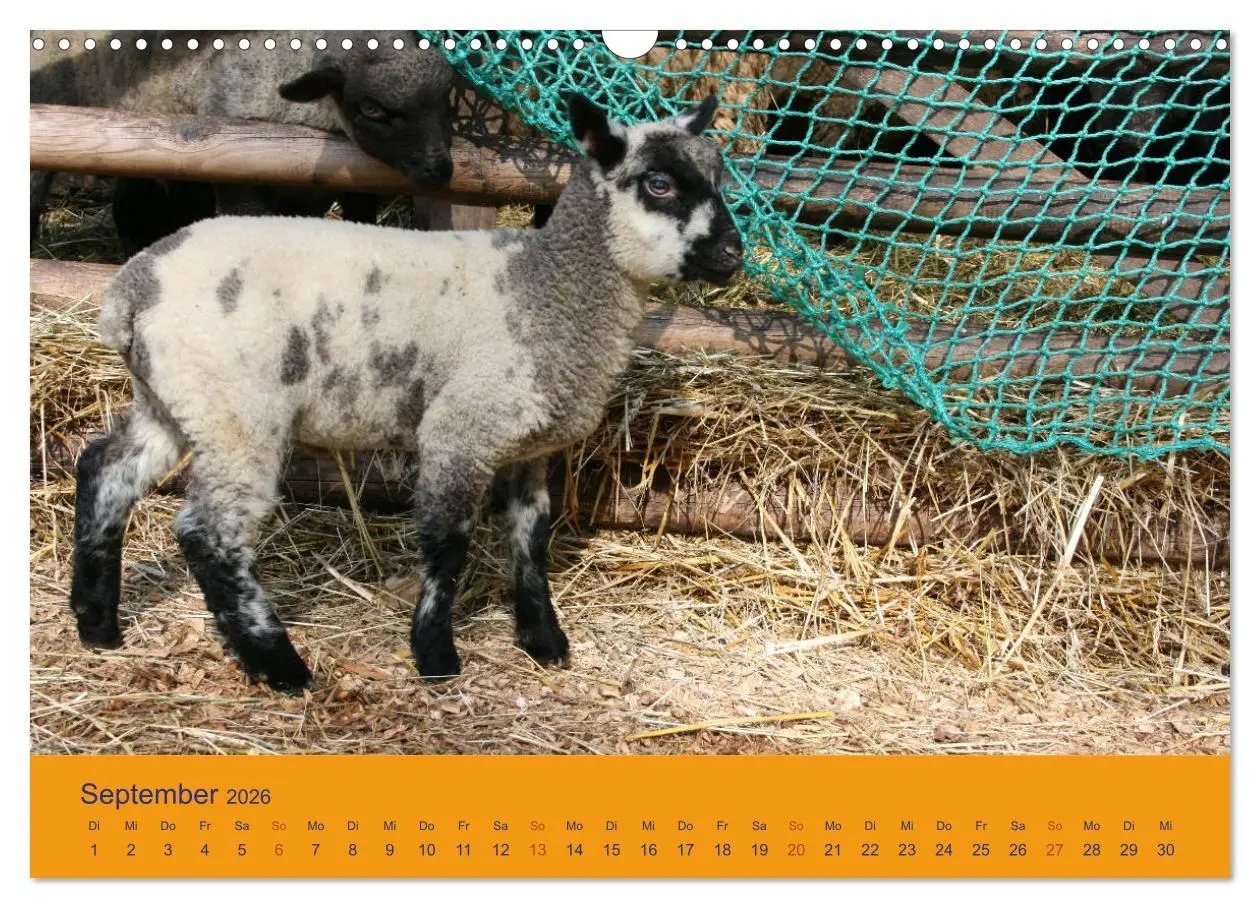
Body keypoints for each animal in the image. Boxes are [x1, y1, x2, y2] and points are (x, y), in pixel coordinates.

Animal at [69, 94, 744, 692]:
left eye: (716, 177)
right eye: (659, 184)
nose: (733, 255)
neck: (547, 287)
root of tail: (133, 287)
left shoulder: (527, 444)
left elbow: (531, 538)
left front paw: (544, 640)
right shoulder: (461, 429)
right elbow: (448, 544)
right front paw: (435, 654)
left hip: (175, 401)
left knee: (104, 470)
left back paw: (96, 624)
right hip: (236, 413)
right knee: (209, 534)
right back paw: (279, 665)